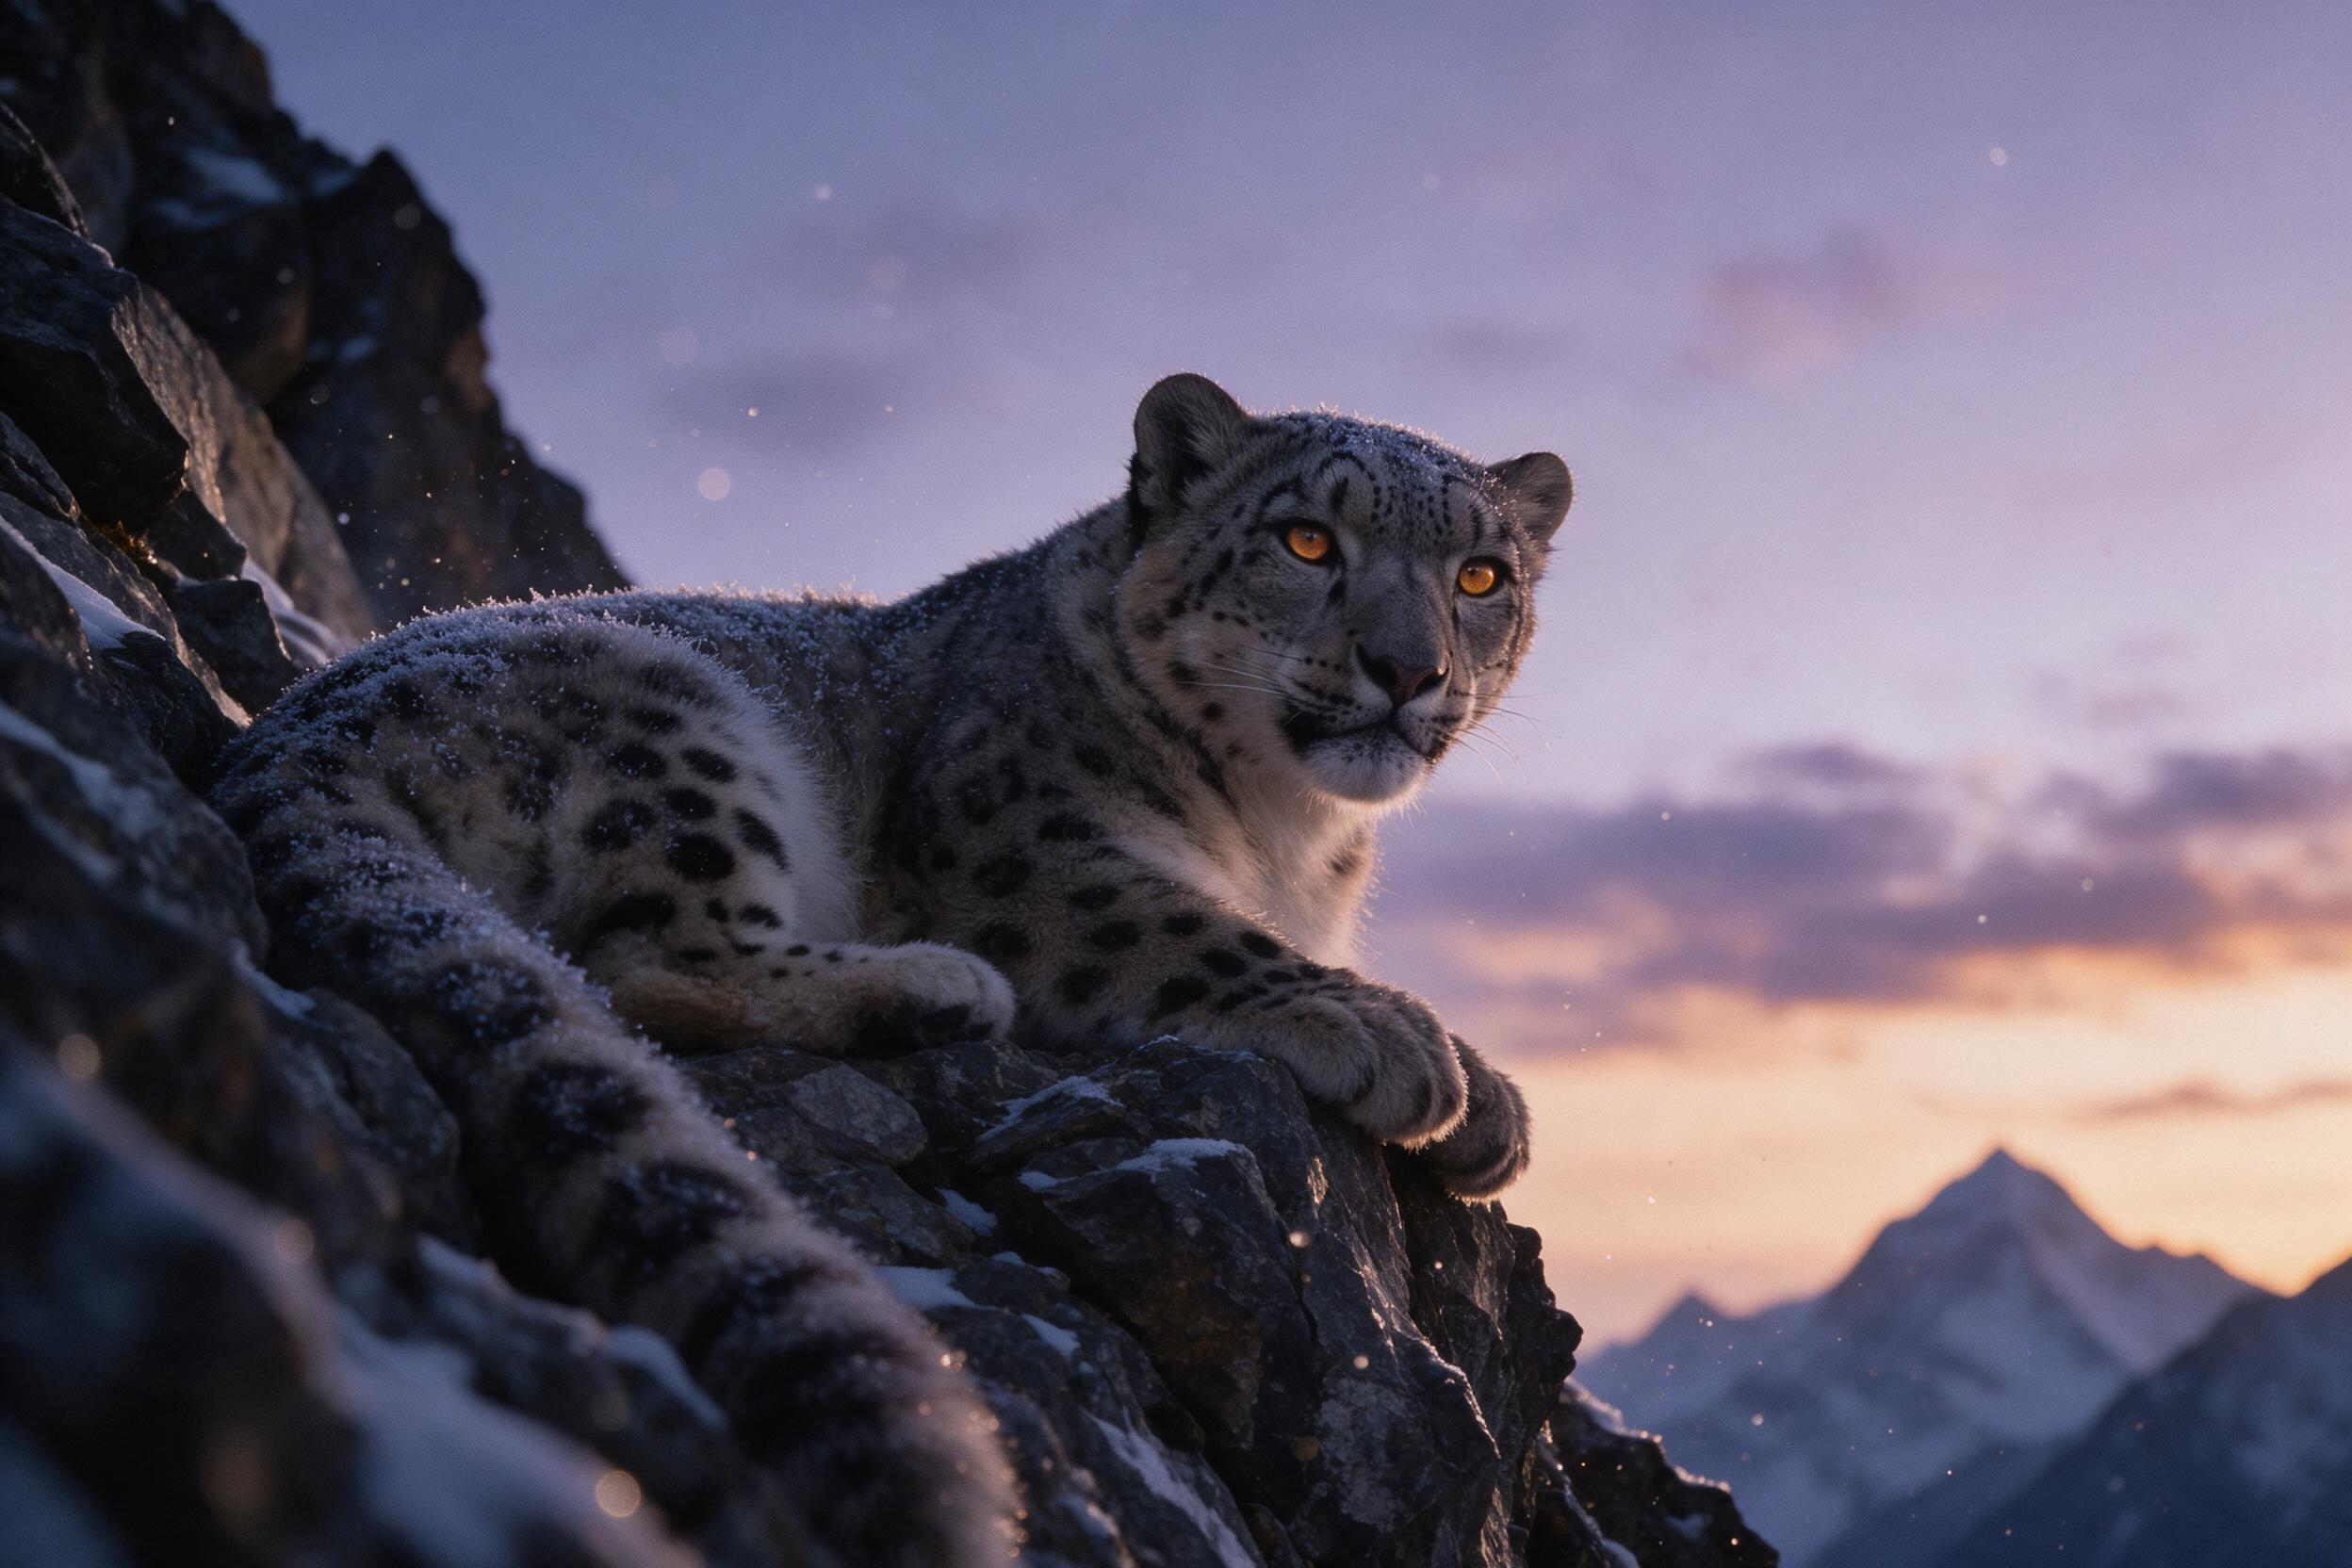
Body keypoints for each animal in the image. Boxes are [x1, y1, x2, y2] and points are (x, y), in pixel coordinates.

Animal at [205, 373, 1573, 1568]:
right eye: (1304, 540)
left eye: (1481, 575)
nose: (1411, 671)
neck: (1290, 837)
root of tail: (285, 731)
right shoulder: (1028, 855)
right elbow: (1193, 932)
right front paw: (1398, 1040)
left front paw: (1494, 1102)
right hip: (669, 721)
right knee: (645, 962)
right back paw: (931, 985)